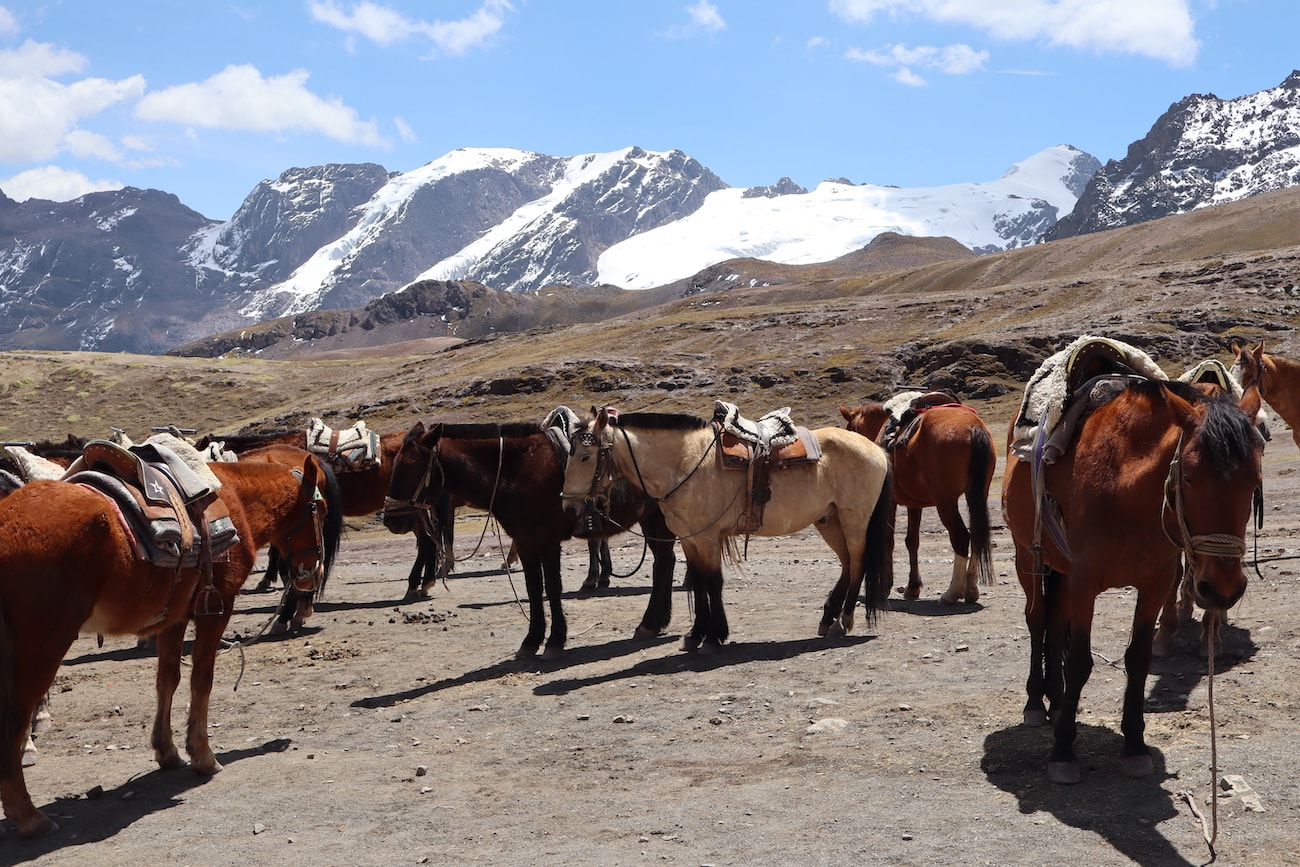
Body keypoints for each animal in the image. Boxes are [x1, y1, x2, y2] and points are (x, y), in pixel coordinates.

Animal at [1, 457, 335, 837]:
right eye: (321, 509)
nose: (313, 574)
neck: (236, 501)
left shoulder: (173, 619)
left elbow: (168, 680)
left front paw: (167, 751)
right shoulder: (215, 609)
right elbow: (201, 679)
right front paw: (203, 756)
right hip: (42, 646)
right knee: (15, 717)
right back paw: (27, 815)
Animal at [379, 421, 676, 657]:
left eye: (410, 468)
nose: (391, 520)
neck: (518, 470)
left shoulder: (547, 540)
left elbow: (552, 587)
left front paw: (555, 641)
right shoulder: (524, 541)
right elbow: (533, 588)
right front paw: (532, 640)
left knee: (663, 563)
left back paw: (649, 623)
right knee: (665, 562)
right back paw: (656, 622)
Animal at [559, 408, 894, 649]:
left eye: (585, 456)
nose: (569, 508)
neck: (685, 463)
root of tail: (876, 450)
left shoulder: (707, 538)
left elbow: (712, 583)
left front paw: (714, 635)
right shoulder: (690, 539)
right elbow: (698, 583)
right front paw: (696, 635)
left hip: (854, 520)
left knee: (858, 563)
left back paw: (843, 621)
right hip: (829, 520)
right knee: (847, 564)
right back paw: (828, 618)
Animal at [842, 392, 993, 603]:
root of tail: (973, 427)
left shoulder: (890, 501)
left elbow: (888, 540)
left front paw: (885, 586)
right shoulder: (914, 504)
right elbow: (912, 540)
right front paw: (913, 586)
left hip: (946, 502)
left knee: (961, 537)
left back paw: (952, 592)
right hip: (976, 495)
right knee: (978, 535)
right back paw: (971, 589)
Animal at [1003, 348, 1258, 785]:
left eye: (1254, 480)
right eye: (1189, 477)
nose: (1222, 589)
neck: (1123, 486)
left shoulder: (1156, 581)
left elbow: (1138, 658)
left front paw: (1134, 745)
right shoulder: (1085, 580)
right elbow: (1080, 661)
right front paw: (1063, 752)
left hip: (1061, 570)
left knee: (1054, 622)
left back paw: (1057, 698)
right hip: (1028, 558)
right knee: (1037, 621)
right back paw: (1038, 702)